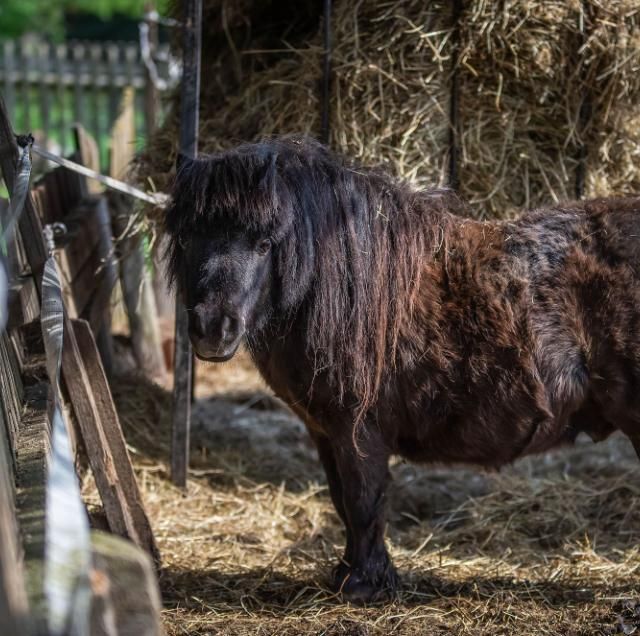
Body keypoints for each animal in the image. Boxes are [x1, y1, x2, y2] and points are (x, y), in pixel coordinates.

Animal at [162, 137, 640, 604]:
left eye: (264, 243)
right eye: (185, 238)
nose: (213, 329)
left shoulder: (358, 430)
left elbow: (363, 501)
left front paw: (364, 585)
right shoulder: (325, 432)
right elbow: (343, 501)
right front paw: (348, 574)